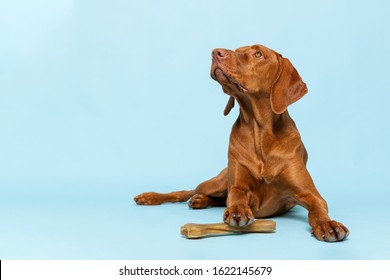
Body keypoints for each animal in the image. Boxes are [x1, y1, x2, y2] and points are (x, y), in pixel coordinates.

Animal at [135, 43, 350, 241]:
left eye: (258, 54)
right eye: (237, 49)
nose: (216, 52)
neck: (259, 132)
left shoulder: (310, 194)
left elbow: (317, 209)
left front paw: (327, 224)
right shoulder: (237, 184)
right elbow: (236, 196)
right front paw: (238, 210)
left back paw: (201, 200)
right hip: (218, 182)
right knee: (185, 192)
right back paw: (152, 197)